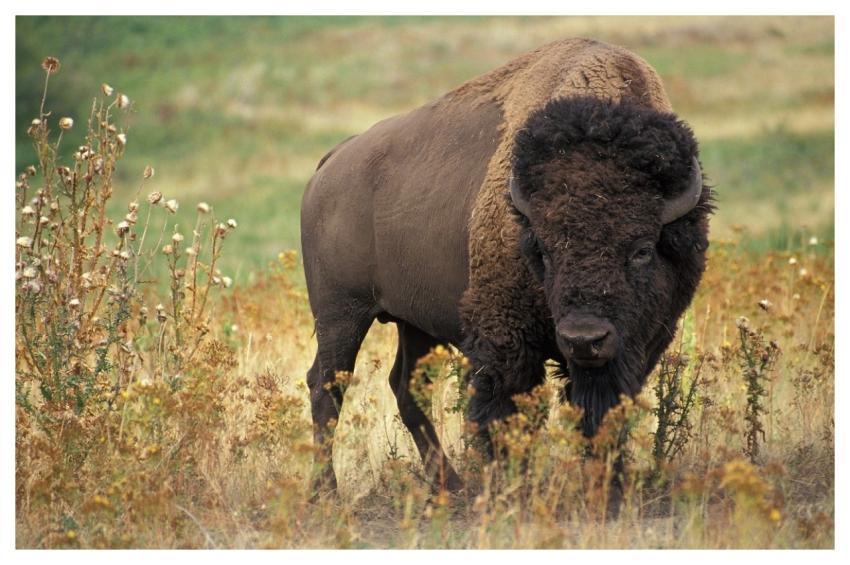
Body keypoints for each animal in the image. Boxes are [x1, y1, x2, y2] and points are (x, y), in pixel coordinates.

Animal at [300, 38, 712, 491]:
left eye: (642, 249)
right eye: (544, 250)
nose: (584, 339)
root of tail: (332, 161)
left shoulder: (639, 344)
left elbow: (602, 412)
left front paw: (607, 484)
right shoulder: (505, 341)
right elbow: (504, 413)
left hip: (413, 322)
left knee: (405, 386)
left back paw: (450, 485)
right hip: (341, 314)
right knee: (327, 386)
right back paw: (326, 491)